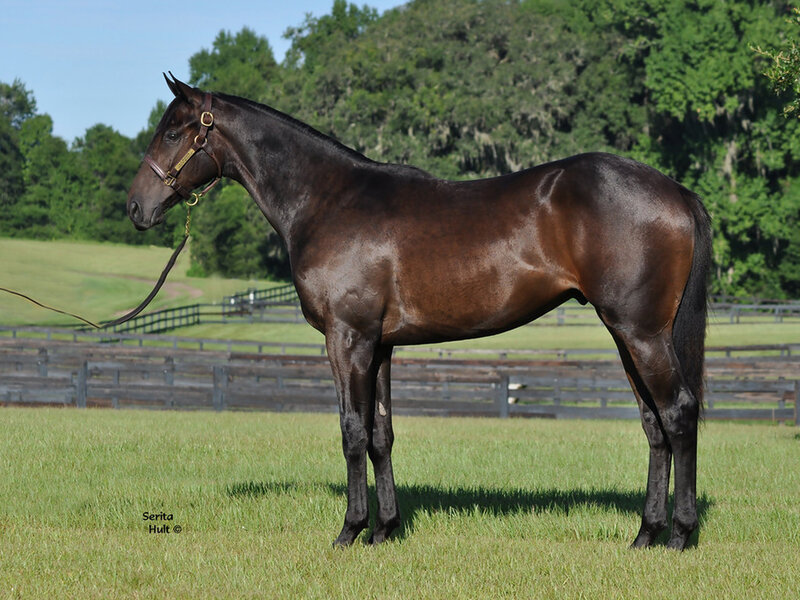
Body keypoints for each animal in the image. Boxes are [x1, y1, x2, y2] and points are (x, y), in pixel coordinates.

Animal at [128, 74, 711, 550]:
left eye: (174, 132)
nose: (136, 207)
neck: (328, 200)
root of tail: (676, 192)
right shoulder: (380, 344)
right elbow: (381, 434)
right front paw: (385, 530)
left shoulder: (347, 339)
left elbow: (352, 431)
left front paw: (350, 530)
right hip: (626, 335)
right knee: (654, 425)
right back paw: (644, 534)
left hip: (641, 333)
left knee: (679, 412)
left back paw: (679, 535)